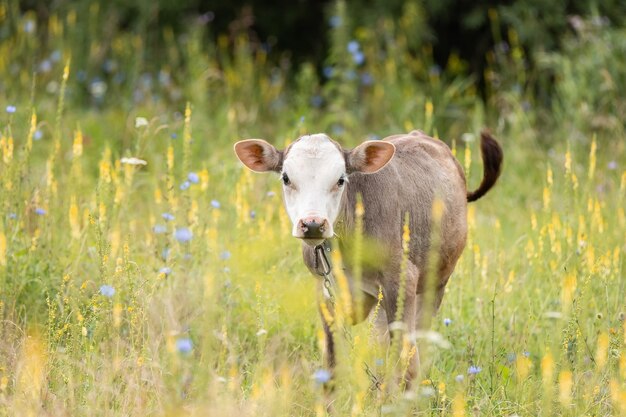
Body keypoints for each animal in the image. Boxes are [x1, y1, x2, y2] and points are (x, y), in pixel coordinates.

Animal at [234, 129, 502, 384]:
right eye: (286, 178)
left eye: (340, 180)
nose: (312, 224)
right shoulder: (323, 287)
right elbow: (332, 360)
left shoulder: (401, 278)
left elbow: (406, 361)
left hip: (435, 283)